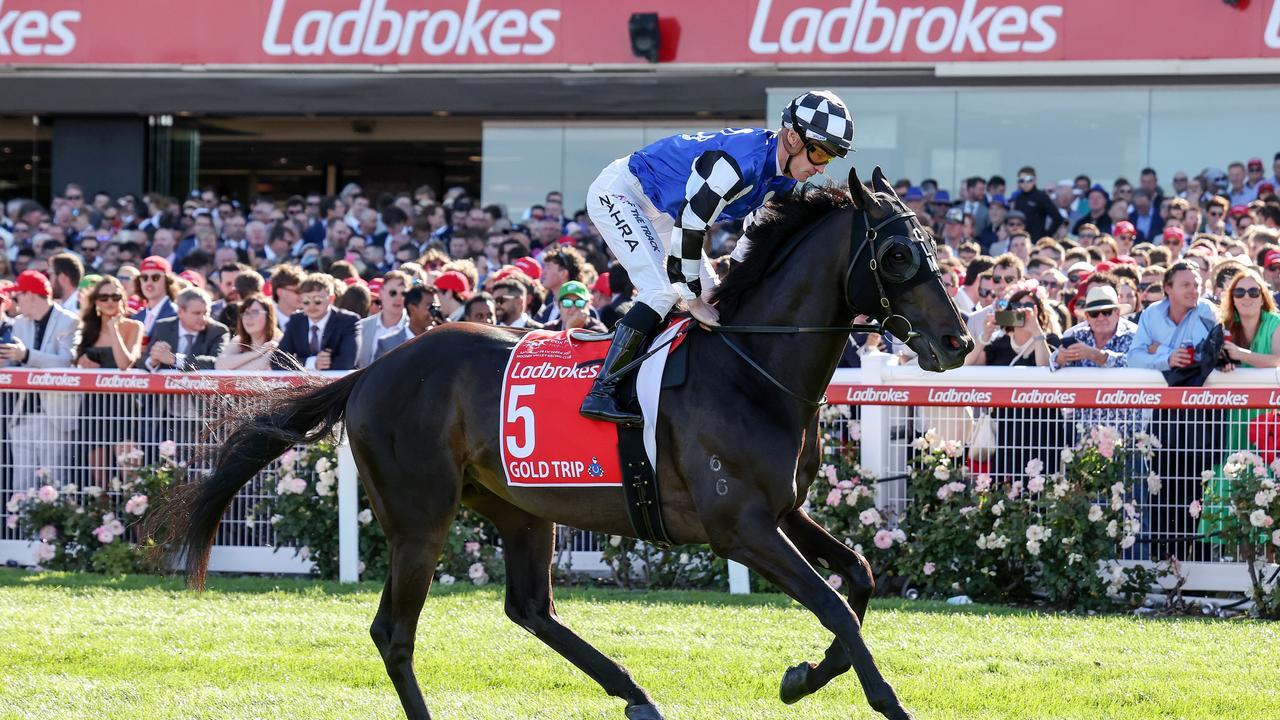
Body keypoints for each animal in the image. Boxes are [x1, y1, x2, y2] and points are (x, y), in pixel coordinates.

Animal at [167, 165, 967, 717]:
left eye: (932, 244)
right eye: (898, 254)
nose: (958, 340)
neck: (750, 368)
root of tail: (372, 370)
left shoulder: (782, 511)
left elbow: (859, 577)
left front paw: (802, 677)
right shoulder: (738, 526)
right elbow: (835, 603)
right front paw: (883, 698)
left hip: (520, 506)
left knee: (529, 608)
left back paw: (635, 692)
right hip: (421, 519)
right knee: (395, 631)